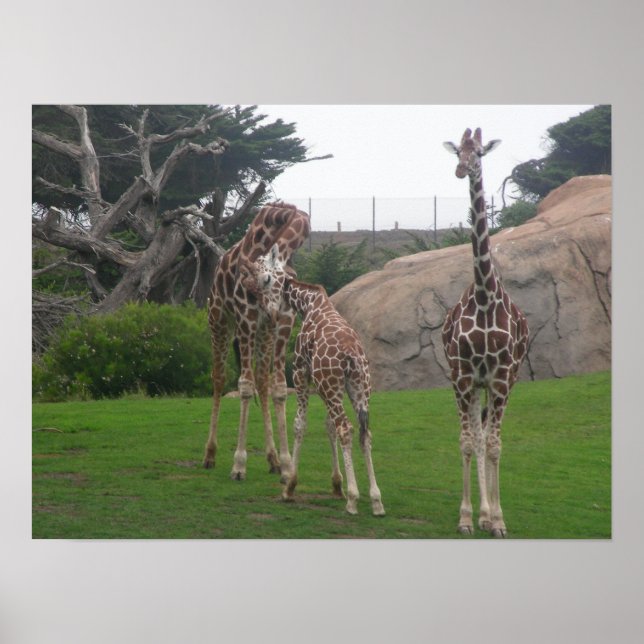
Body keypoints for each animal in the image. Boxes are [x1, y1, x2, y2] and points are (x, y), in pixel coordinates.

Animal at [202, 202, 310, 481]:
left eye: (268, 279)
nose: (268, 312)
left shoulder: (283, 323)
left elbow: (279, 388)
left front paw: (286, 466)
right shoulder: (246, 320)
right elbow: (244, 386)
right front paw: (239, 465)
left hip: (263, 333)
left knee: (262, 381)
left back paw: (273, 459)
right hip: (219, 320)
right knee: (219, 378)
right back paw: (209, 455)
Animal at [246, 244, 385, 516]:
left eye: (266, 277)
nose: (271, 312)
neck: (309, 303)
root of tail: (352, 356)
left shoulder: (302, 373)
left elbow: (300, 424)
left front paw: (290, 486)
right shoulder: (325, 385)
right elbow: (328, 426)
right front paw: (336, 485)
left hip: (331, 385)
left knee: (346, 428)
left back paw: (353, 499)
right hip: (358, 388)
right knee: (364, 432)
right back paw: (376, 500)